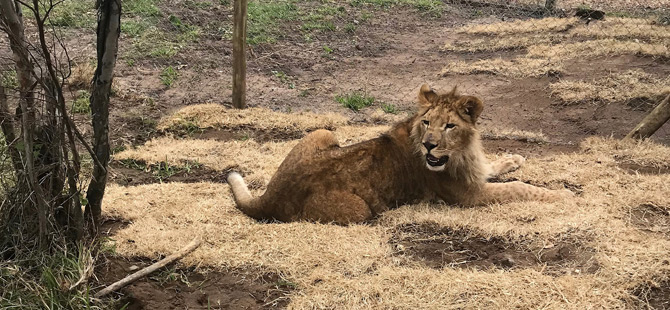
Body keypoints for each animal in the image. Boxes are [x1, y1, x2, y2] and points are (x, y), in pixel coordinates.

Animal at [228, 85, 576, 224]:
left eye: (449, 125)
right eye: (427, 123)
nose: (430, 145)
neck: (459, 153)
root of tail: (270, 196)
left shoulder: (473, 171)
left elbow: (494, 165)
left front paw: (514, 159)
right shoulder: (468, 196)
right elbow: (520, 188)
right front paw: (563, 195)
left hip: (325, 132)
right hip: (359, 210)